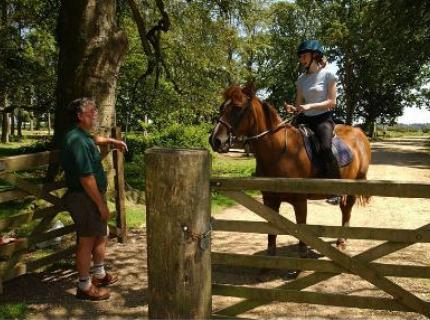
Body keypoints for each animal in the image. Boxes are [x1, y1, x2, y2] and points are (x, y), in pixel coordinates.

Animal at [210, 84, 372, 256]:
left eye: (238, 107)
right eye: (221, 108)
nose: (215, 140)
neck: (280, 150)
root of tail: (359, 133)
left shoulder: (300, 201)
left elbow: (301, 233)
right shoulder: (270, 199)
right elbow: (271, 234)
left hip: (353, 187)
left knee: (347, 210)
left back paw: (342, 242)